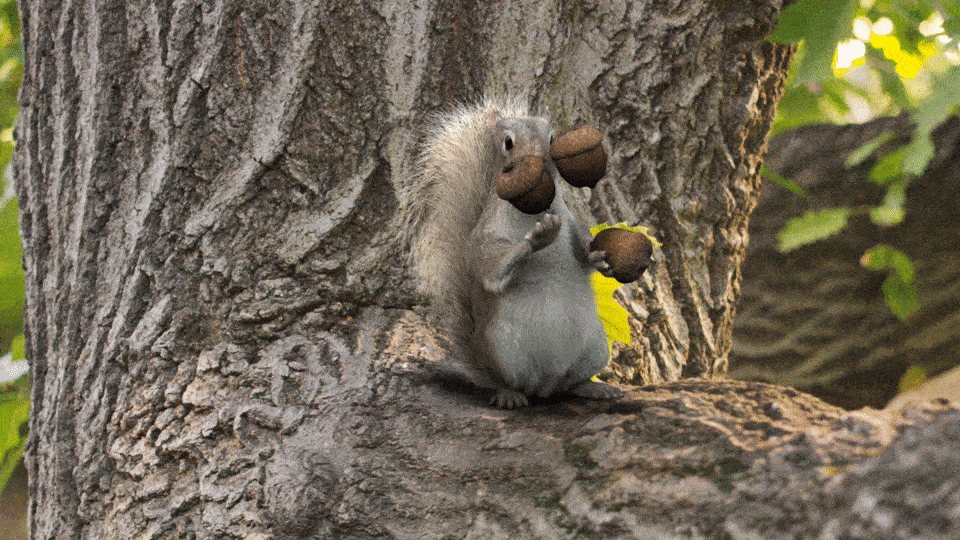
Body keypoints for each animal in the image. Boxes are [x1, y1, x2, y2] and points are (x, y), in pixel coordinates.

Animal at [410, 97, 636, 408]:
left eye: (552, 139)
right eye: (508, 143)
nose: (539, 160)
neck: (534, 211)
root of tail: (546, 385)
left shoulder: (572, 223)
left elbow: (582, 251)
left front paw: (601, 259)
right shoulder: (486, 237)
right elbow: (493, 266)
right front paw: (537, 239)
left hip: (596, 347)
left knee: (573, 383)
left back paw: (594, 388)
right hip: (500, 351)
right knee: (500, 380)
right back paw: (509, 395)